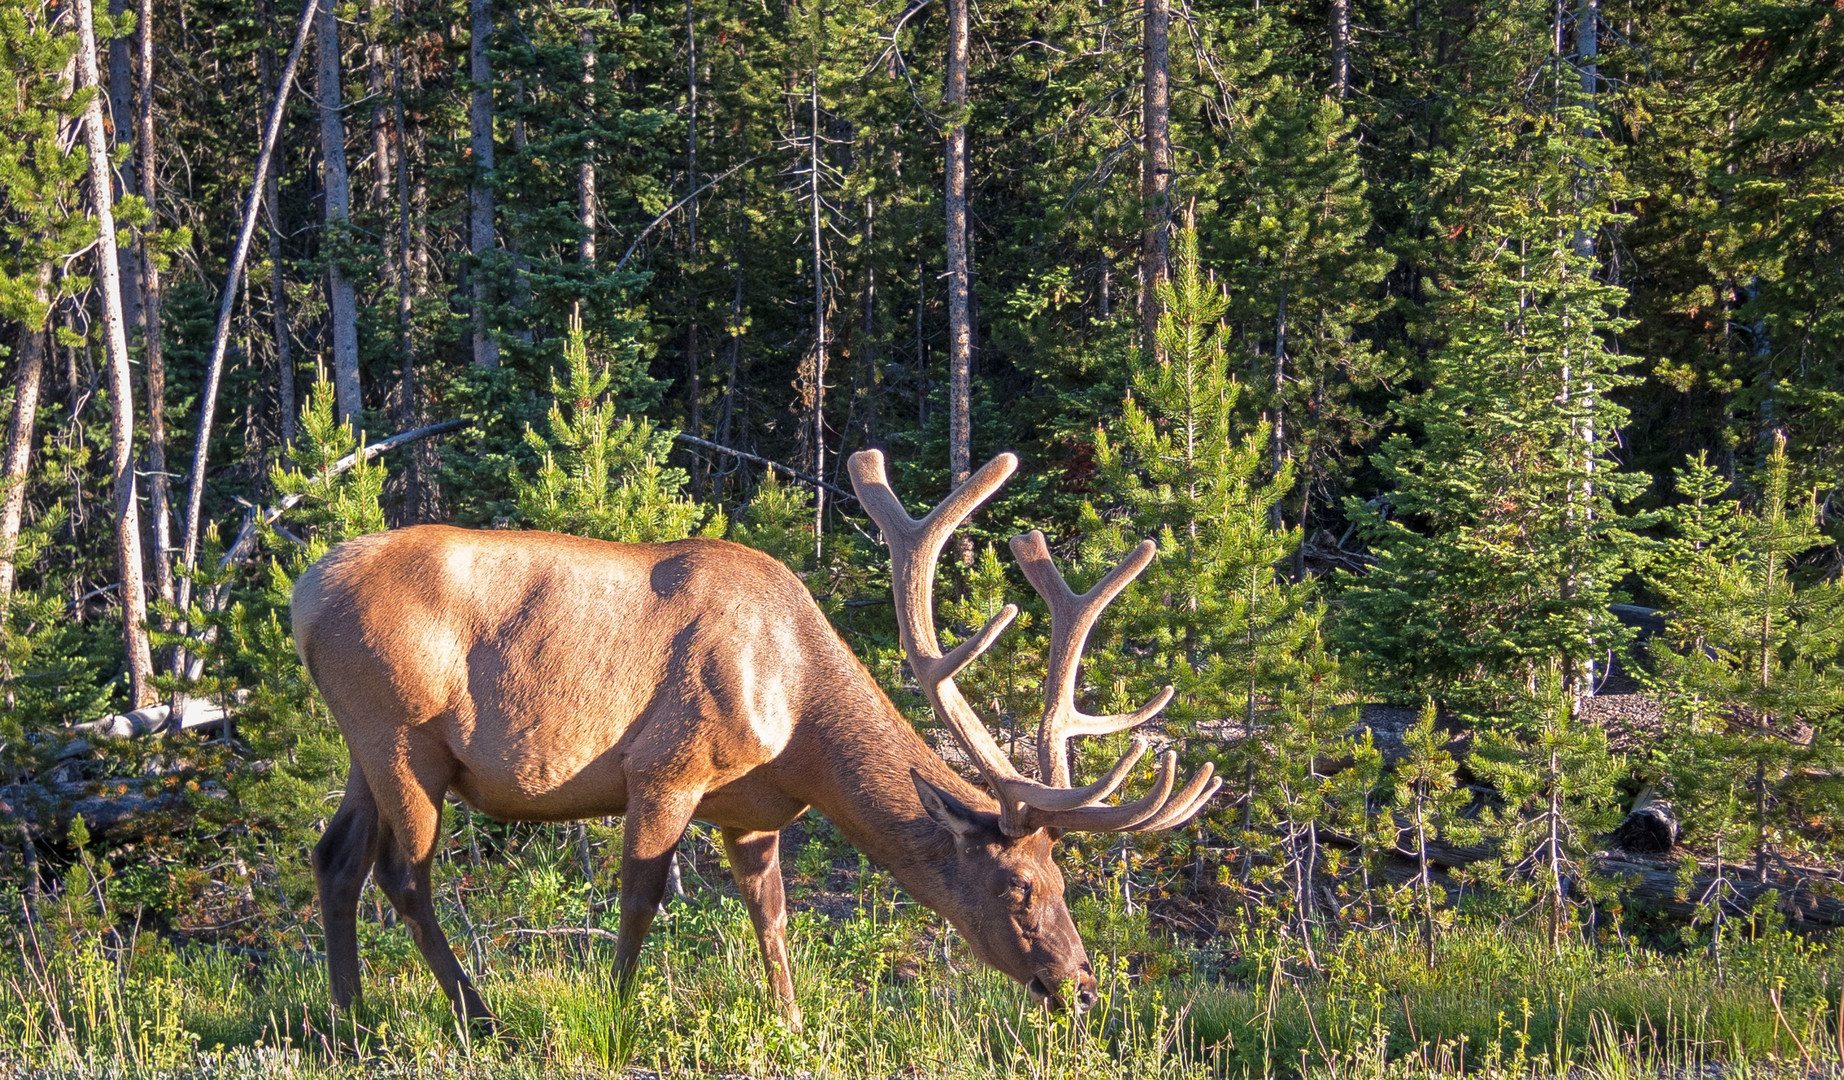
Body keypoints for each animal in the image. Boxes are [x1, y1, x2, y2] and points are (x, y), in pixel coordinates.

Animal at [295, 447, 1217, 1024]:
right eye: (1021, 886)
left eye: (1063, 882)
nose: (1083, 985)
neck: (798, 728)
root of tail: (303, 595)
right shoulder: (666, 769)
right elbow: (640, 900)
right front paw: (618, 1013)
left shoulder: (752, 811)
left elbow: (771, 915)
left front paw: (793, 1021)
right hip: (400, 737)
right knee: (403, 876)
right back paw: (475, 1014)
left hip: (362, 748)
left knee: (334, 857)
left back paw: (349, 1016)